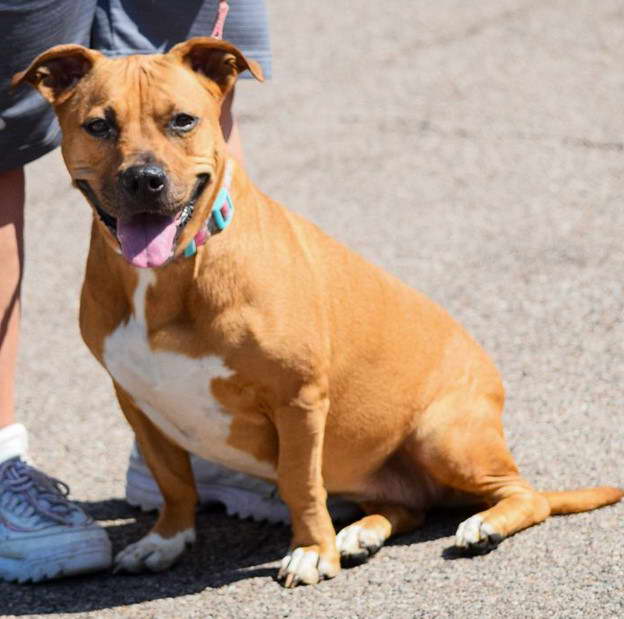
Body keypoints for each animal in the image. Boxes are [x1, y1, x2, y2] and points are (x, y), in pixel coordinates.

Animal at [13, 36, 620, 588]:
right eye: (98, 125)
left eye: (182, 121)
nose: (144, 179)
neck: (170, 273)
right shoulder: (138, 401)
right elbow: (173, 479)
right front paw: (167, 539)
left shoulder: (298, 399)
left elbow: (300, 482)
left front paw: (310, 552)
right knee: (409, 506)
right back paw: (361, 533)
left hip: (443, 435)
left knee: (527, 495)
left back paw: (479, 526)